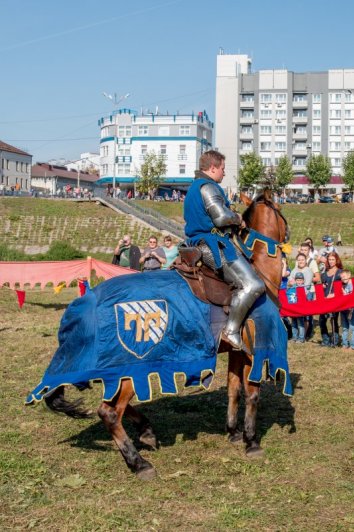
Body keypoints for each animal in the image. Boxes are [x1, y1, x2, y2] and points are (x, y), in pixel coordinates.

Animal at [44, 189, 290, 480]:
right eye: (280, 210)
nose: (288, 235)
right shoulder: (255, 349)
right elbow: (252, 393)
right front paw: (251, 441)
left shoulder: (237, 350)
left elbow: (233, 390)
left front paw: (233, 432)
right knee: (109, 412)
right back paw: (138, 462)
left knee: (112, 405)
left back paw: (146, 432)